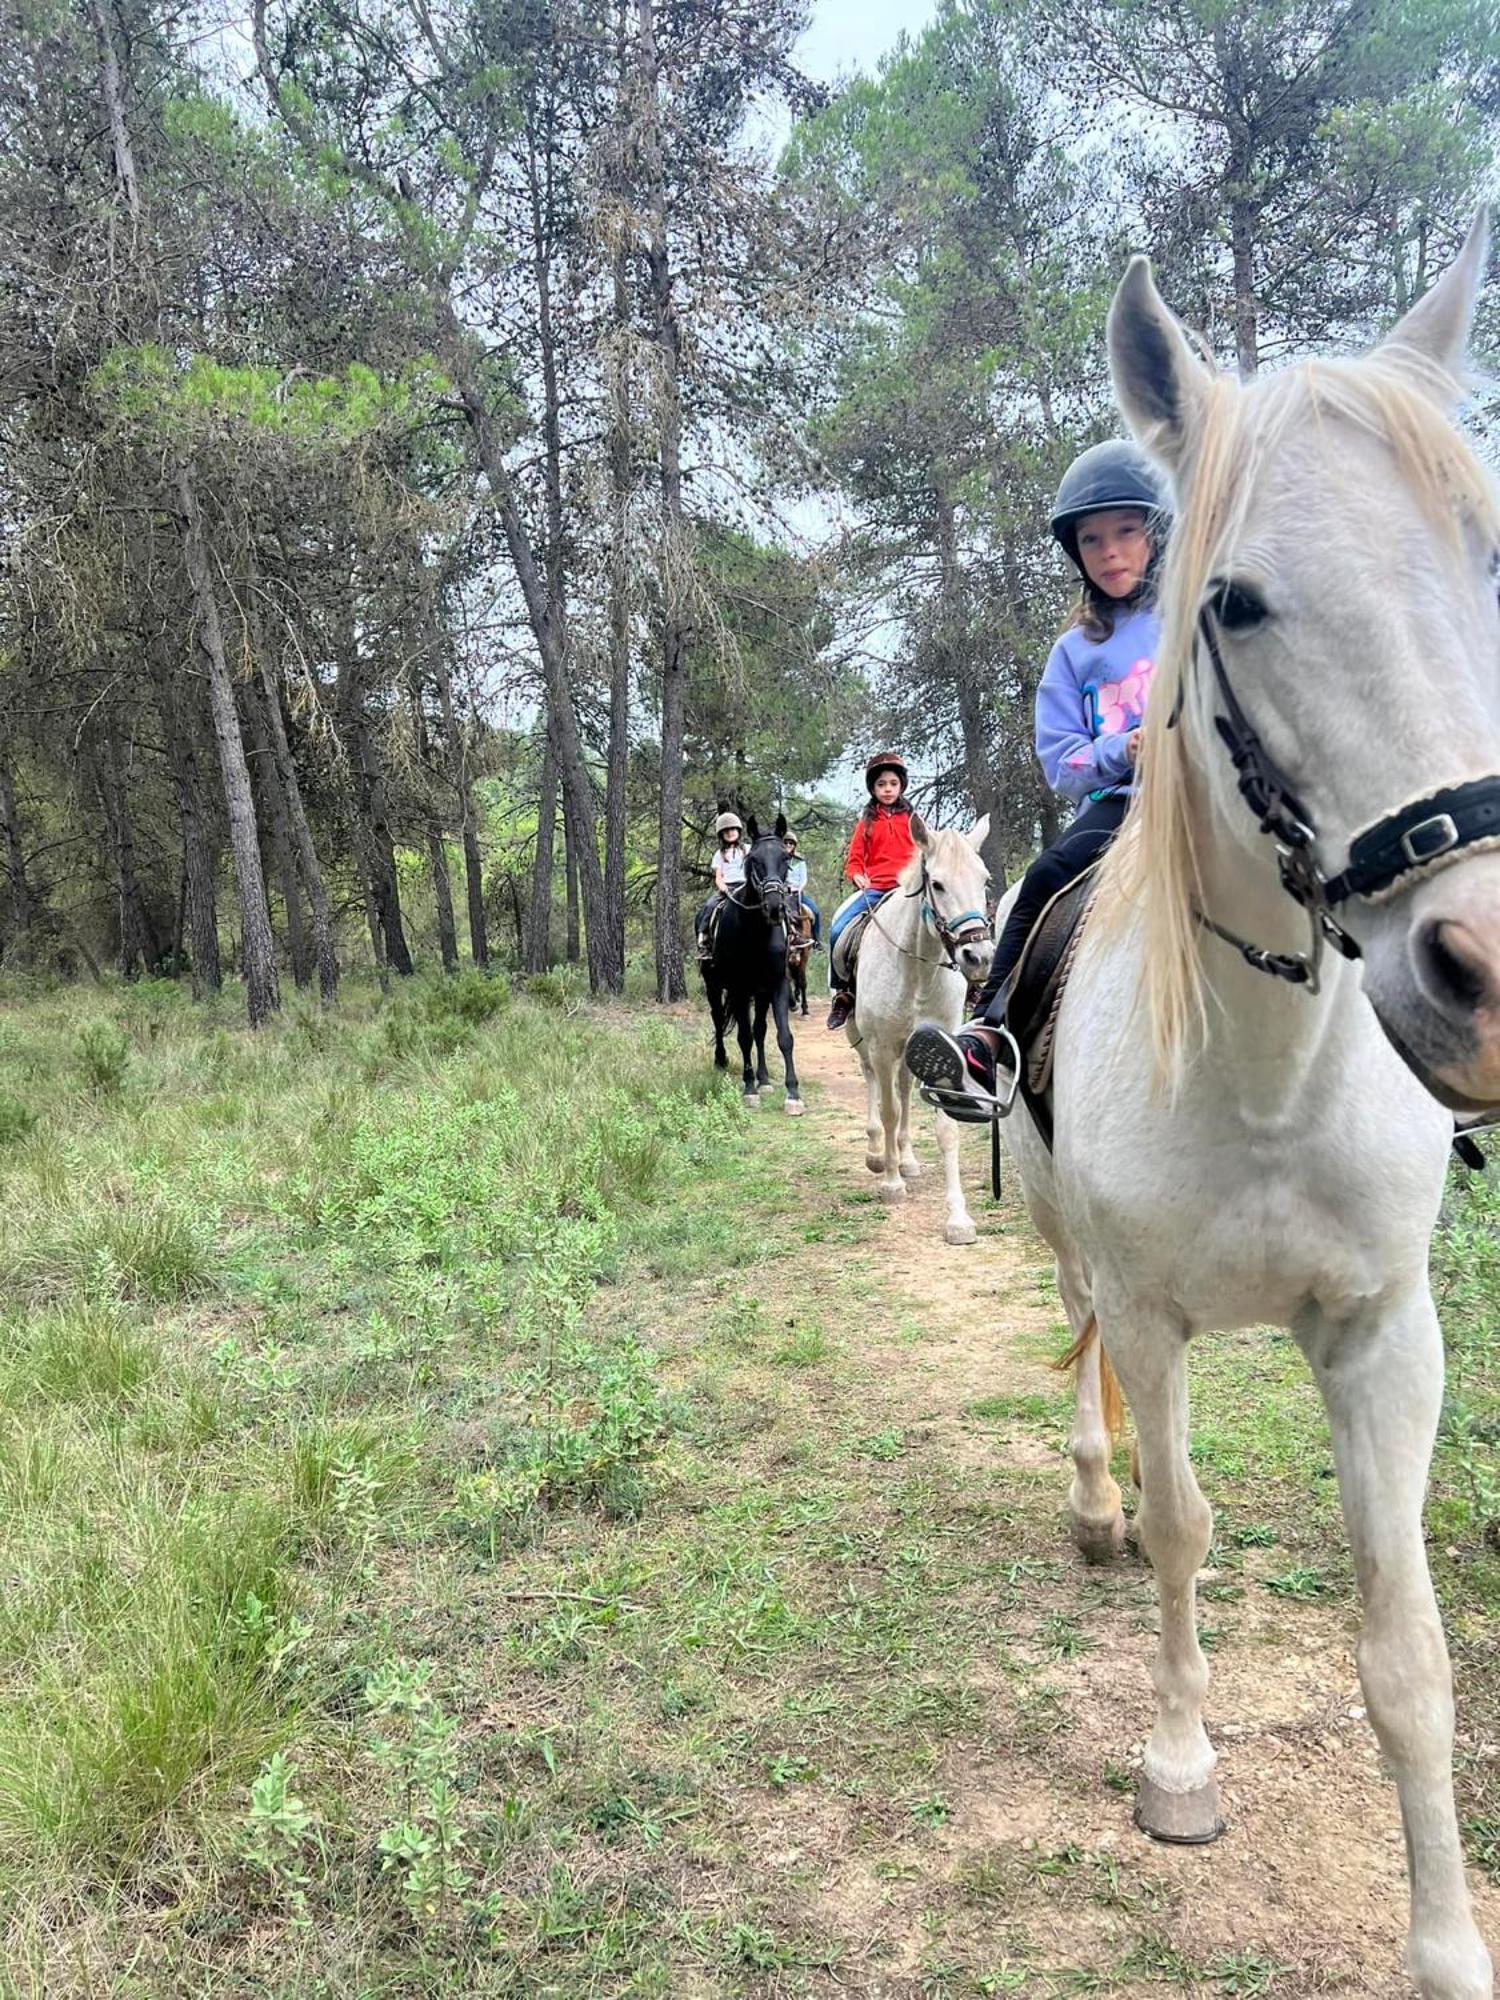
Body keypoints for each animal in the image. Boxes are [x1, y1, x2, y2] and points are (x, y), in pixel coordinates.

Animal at [708, 816, 812, 1128]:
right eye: (754, 860)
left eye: (785, 858)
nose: (776, 907)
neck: (754, 932)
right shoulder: (739, 988)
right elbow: (743, 1037)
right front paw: (749, 1089)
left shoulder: (776, 984)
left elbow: (783, 1037)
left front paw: (792, 1094)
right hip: (714, 985)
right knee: (719, 1019)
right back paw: (721, 1060)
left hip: (761, 991)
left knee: (760, 1030)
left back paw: (764, 1078)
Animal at [852, 812, 992, 1232]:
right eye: (938, 884)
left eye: (984, 880)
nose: (979, 957)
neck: (916, 970)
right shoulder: (882, 1048)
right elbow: (888, 1110)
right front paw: (891, 1183)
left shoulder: (940, 1046)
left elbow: (945, 1127)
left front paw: (958, 1217)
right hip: (862, 1040)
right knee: (874, 1084)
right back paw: (878, 1154)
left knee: (904, 1088)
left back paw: (907, 1159)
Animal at [1004, 223, 1496, 2000]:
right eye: (1235, 599)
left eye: (1488, 557)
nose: (1487, 967)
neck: (1267, 1072)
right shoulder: (1156, 1320)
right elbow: (1179, 1532)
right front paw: (1179, 1770)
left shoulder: (1382, 1335)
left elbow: (1408, 1651)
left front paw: (1446, 1944)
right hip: (1059, 1231)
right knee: (1081, 1347)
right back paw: (1087, 1495)